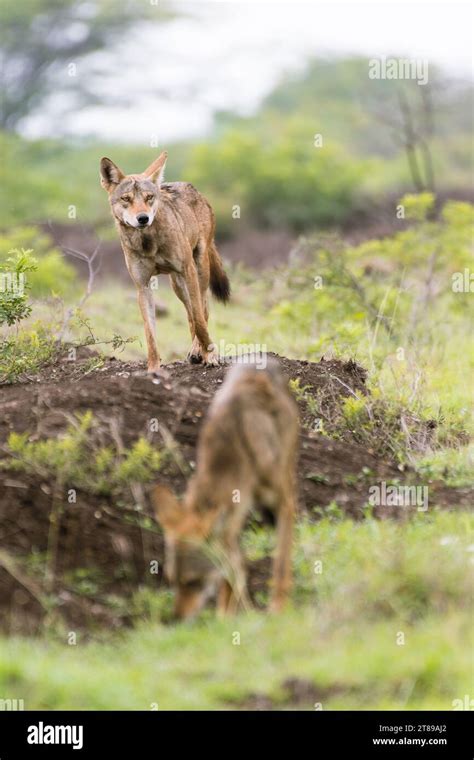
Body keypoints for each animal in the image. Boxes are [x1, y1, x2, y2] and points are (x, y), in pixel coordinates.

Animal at [99, 151, 230, 374]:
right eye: (126, 199)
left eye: (149, 198)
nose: (143, 218)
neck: (148, 243)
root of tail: (193, 188)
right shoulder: (142, 286)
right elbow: (150, 334)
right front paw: (153, 370)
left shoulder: (188, 271)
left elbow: (199, 319)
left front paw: (211, 355)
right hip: (177, 284)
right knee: (190, 314)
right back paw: (195, 352)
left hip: (199, 271)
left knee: (202, 310)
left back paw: (200, 351)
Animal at [154, 360, 298, 620]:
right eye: (172, 581)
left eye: (193, 582)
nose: (176, 618)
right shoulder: (232, 520)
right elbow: (232, 577)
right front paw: (228, 618)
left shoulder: (282, 503)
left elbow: (281, 562)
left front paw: (278, 609)